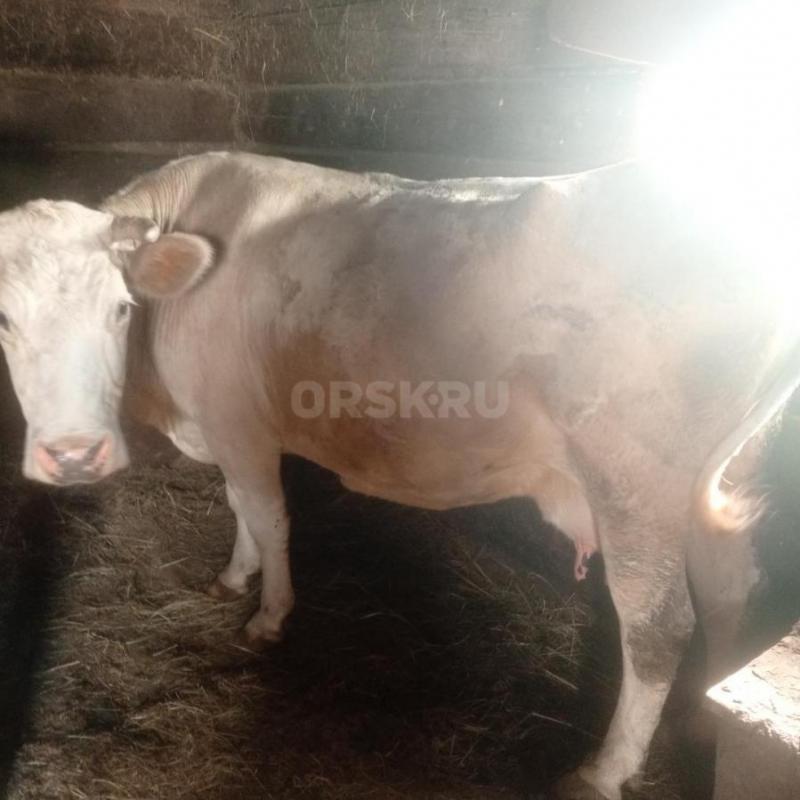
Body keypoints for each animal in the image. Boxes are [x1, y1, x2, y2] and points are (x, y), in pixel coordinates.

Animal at [0, 152, 795, 800]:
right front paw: (233, 578)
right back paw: (702, 730)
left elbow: (267, 514)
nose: (74, 453)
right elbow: (237, 506)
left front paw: (269, 614)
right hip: (715, 491)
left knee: (656, 628)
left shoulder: (239, 422)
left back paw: (603, 771)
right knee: (732, 596)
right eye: (4, 321)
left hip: (635, 484)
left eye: (119, 308)